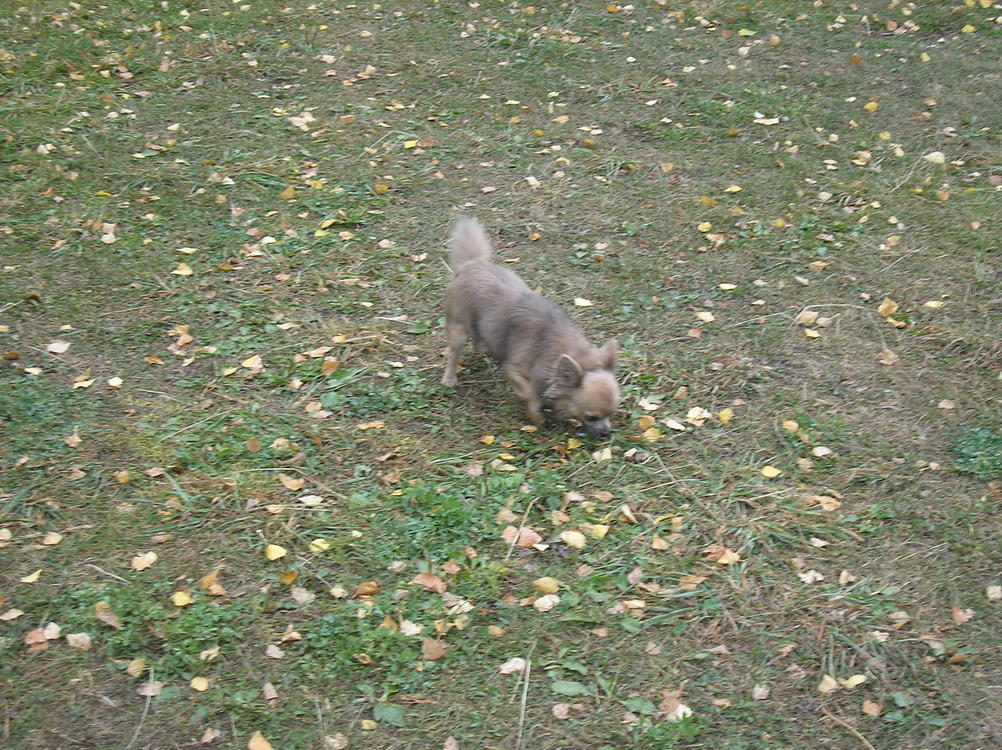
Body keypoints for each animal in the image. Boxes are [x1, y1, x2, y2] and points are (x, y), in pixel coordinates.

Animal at [441, 217, 620, 437]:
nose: (606, 433)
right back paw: (449, 378)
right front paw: (537, 416)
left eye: (611, 414)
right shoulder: (514, 370)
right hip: (459, 330)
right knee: (454, 353)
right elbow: (531, 394)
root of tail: (472, 264)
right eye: (591, 417)